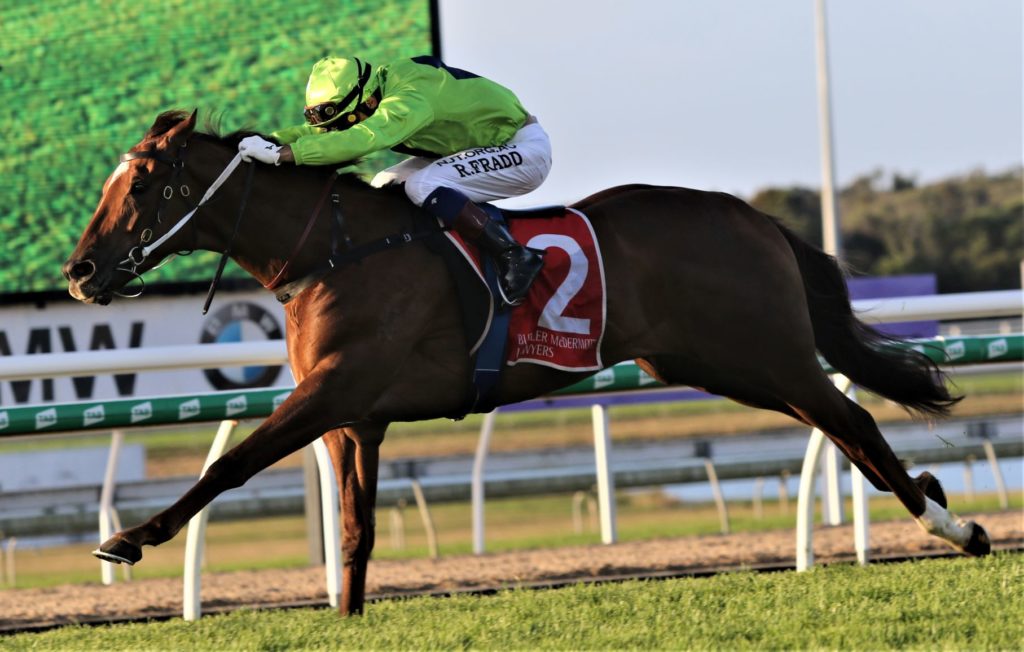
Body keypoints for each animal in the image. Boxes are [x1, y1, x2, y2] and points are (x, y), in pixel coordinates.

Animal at [64, 110, 989, 615]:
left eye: (140, 187)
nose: (78, 273)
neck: (334, 250)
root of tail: (754, 217)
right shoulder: (355, 418)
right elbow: (356, 531)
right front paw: (349, 616)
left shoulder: (334, 390)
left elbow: (232, 466)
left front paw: (130, 539)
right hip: (718, 364)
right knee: (845, 429)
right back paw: (943, 510)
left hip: (765, 353)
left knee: (853, 418)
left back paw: (955, 526)